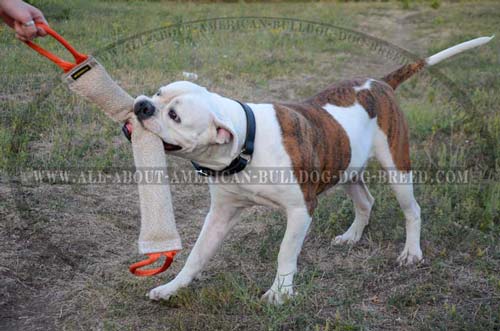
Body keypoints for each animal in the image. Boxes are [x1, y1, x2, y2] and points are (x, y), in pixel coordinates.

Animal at [132, 37, 492, 306]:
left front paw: (280, 292)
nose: (142, 105)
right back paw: (352, 236)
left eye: (175, 116)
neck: (248, 142)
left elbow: (285, 252)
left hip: (397, 167)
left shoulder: (300, 210)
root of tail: (379, 82)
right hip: (347, 166)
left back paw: (411, 252)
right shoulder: (221, 212)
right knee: (366, 201)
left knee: (412, 209)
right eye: (158, 93)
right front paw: (172, 287)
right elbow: (197, 254)